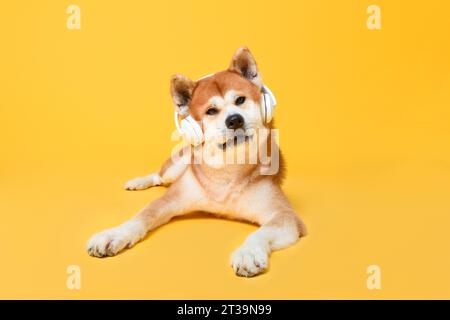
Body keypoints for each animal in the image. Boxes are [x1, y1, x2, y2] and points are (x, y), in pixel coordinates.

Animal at [87, 47, 306, 278]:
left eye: (240, 100)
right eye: (211, 111)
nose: (234, 120)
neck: (228, 169)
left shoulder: (285, 216)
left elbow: (260, 233)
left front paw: (249, 252)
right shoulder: (169, 200)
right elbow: (141, 217)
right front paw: (114, 234)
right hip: (175, 168)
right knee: (159, 176)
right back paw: (138, 182)